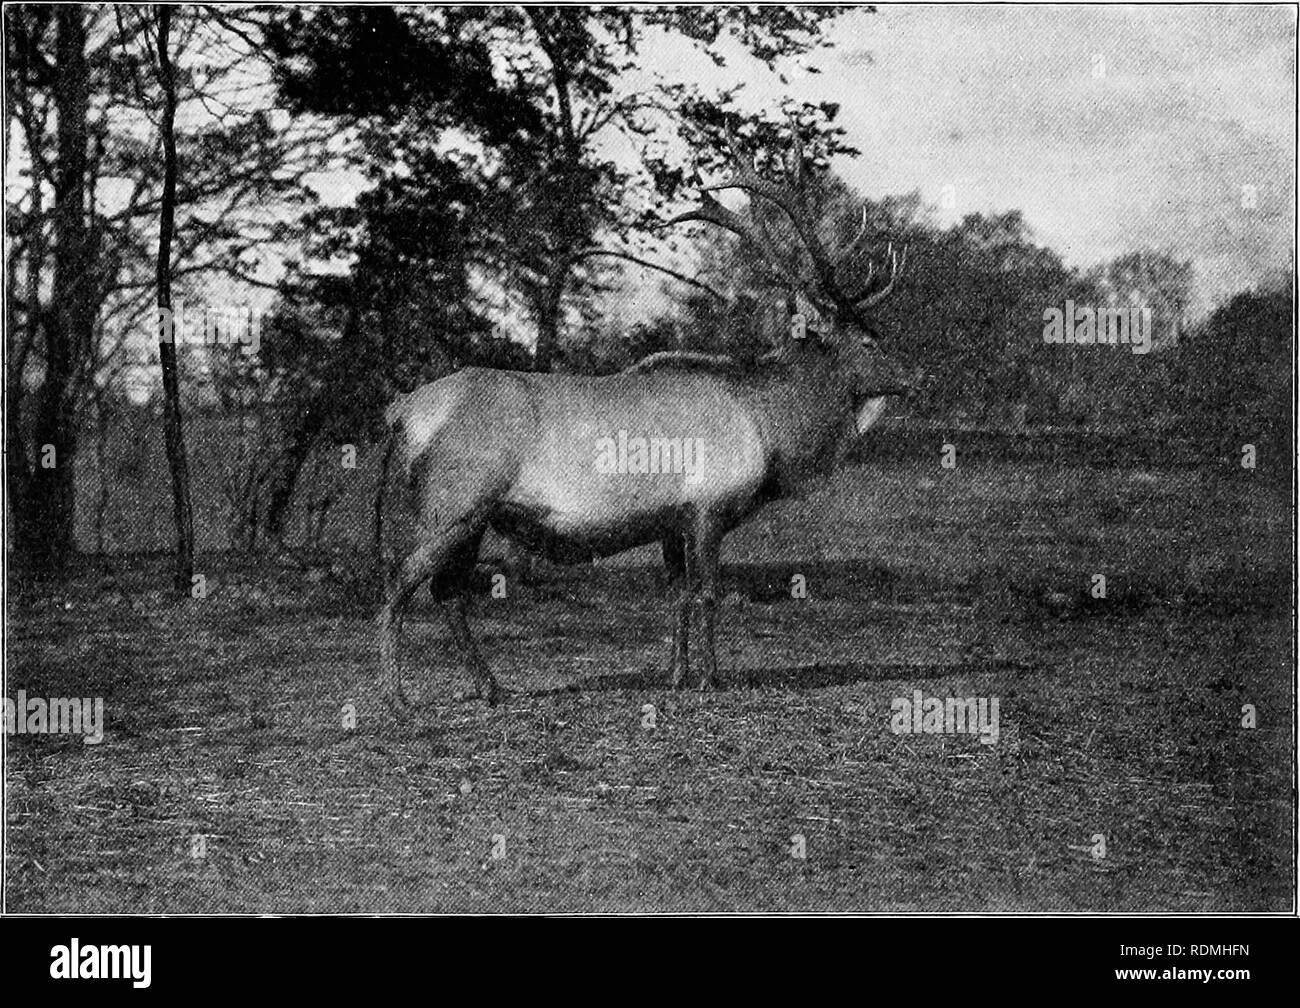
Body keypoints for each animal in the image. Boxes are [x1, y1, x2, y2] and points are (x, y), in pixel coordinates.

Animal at [379, 122, 915, 717]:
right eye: (867, 340)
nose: (915, 377)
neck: (768, 429)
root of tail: (403, 410)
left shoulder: (672, 520)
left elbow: (677, 594)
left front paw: (675, 676)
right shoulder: (708, 505)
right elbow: (707, 593)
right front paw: (710, 680)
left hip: (473, 518)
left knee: (447, 593)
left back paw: (491, 687)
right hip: (453, 503)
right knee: (399, 582)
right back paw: (395, 696)